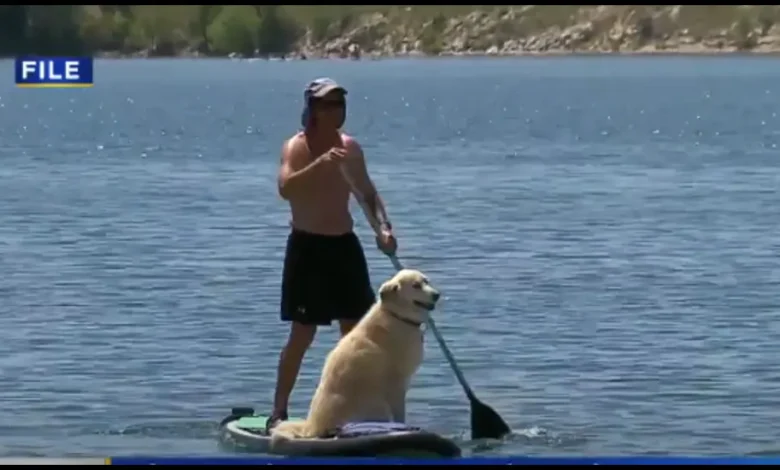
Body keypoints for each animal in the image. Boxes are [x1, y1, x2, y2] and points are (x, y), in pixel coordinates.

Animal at [270, 270, 438, 438]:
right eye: (415, 285)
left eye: (426, 281)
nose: (437, 295)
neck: (396, 315)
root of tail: (311, 429)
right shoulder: (396, 385)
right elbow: (399, 415)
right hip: (377, 405)